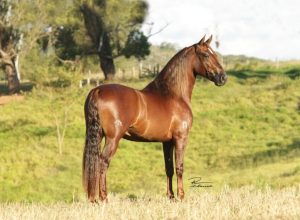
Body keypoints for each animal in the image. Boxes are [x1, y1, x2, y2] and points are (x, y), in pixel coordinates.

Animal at [83, 35, 226, 202]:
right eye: (206, 55)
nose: (223, 77)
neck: (173, 94)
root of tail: (97, 90)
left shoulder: (167, 142)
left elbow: (169, 168)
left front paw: (171, 197)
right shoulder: (180, 138)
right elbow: (179, 167)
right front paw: (181, 196)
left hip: (98, 136)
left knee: (94, 163)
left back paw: (94, 199)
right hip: (113, 139)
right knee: (103, 163)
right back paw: (104, 198)